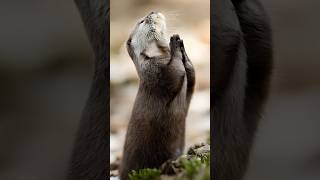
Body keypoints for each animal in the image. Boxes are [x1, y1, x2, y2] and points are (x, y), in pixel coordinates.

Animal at [119, 11, 195, 179]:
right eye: (142, 21)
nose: (152, 12)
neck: (157, 56)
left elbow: (191, 76)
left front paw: (183, 49)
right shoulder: (155, 72)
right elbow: (175, 72)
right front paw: (174, 44)